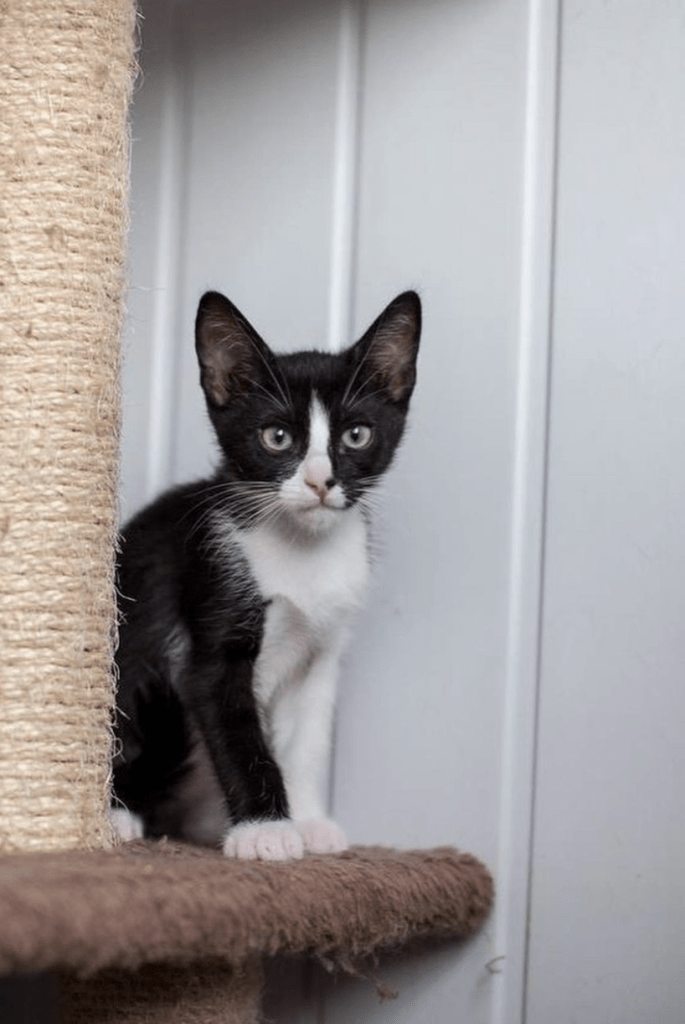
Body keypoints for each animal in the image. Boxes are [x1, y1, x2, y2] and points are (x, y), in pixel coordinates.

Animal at [111, 288, 419, 856]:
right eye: (277, 437)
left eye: (357, 434)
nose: (321, 481)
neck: (305, 553)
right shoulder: (212, 615)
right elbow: (239, 735)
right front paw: (267, 831)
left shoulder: (321, 654)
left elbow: (306, 740)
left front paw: (309, 822)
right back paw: (118, 815)